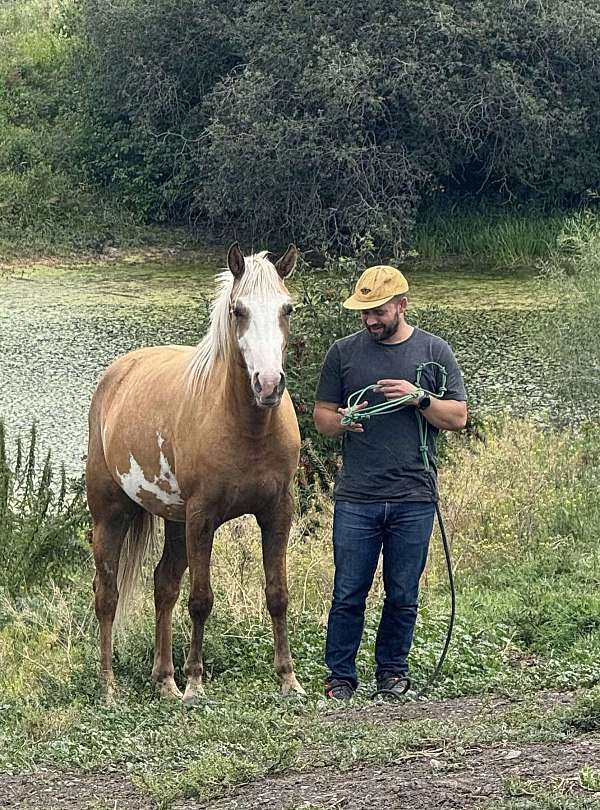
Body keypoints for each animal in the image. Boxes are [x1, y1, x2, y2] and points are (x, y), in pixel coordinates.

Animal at [86, 241, 302, 700]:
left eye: (287, 308)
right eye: (238, 310)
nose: (268, 384)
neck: (247, 428)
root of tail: (118, 373)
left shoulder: (277, 512)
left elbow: (277, 594)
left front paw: (288, 679)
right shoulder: (203, 518)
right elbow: (201, 600)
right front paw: (196, 683)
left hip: (175, 521)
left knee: (163, 585)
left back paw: (164, 679)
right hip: (111, 515)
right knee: (107, 594)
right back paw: (110, 686)